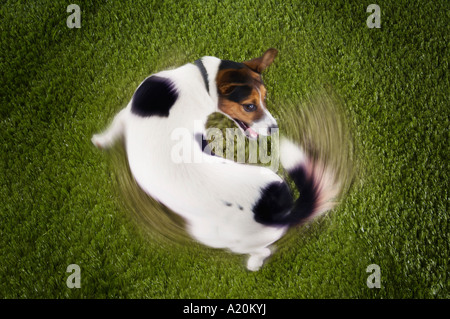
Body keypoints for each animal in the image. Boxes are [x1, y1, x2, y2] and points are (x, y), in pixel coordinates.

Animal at [92, 48, 342, 272]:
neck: (200, 82)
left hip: (216, 236)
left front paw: (99, 141)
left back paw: (253, 264)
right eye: (250, 105)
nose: (274, 128)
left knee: (263, 250)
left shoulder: (125, 113)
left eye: (265, 99)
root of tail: (280, 211)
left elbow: (112, 128)